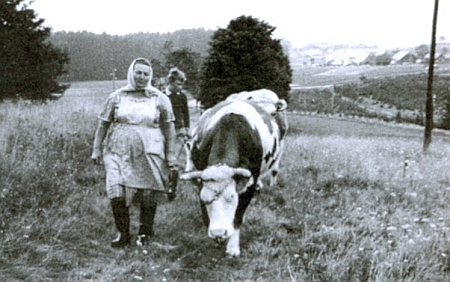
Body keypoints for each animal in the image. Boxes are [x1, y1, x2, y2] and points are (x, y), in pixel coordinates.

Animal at [180, 89, 288, 256]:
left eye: (232, 197)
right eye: (205, 199)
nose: (218, 232)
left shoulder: (248, 185)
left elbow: (238, 217)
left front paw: (232, 247)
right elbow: (206, 217)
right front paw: (216, 239)